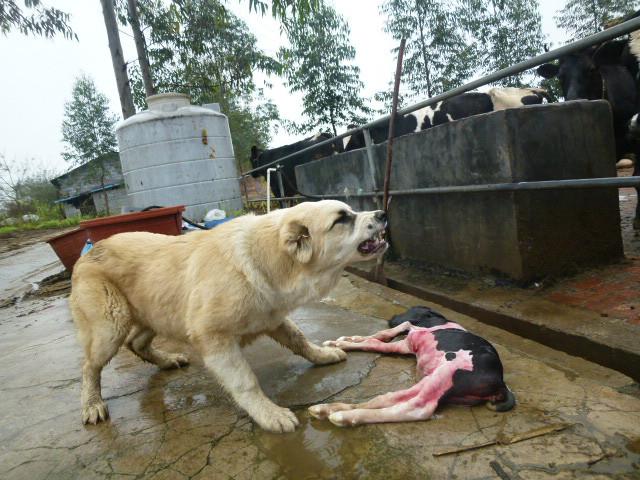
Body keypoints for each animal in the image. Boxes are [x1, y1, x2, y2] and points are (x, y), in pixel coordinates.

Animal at [308, 306, 516, 426]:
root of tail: (501, 384)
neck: (437, 322)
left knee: (416, 407)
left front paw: (339, 344)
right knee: (390, 398)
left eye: (412, 309)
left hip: (444, 375)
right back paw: (328, 409)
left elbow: (380, 340)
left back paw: (342, 416)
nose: (392, 316)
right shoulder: (407, 341)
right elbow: (380, 336)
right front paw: (346, 340)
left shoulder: (408, 340)